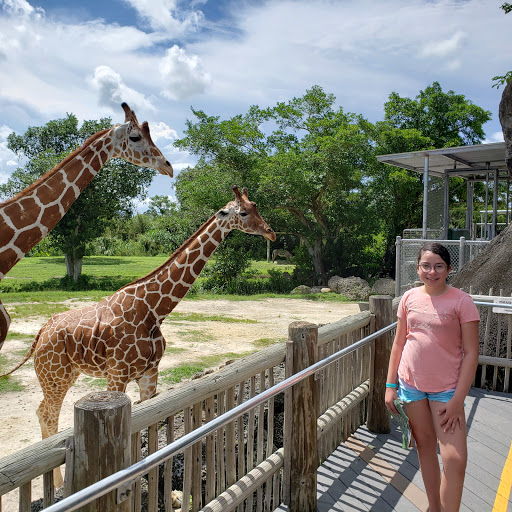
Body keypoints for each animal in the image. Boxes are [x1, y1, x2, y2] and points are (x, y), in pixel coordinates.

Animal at [1, 186, 276, 486]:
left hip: (64, 374)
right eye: (243, 212)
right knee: (49, 415)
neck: (154, 310)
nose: (271, 232)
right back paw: (61, 485)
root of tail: (40, 333)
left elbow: (149, 424)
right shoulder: (116, 374)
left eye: (257, 205)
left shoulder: (149, 372)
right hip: (55, 376)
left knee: (42, 411)